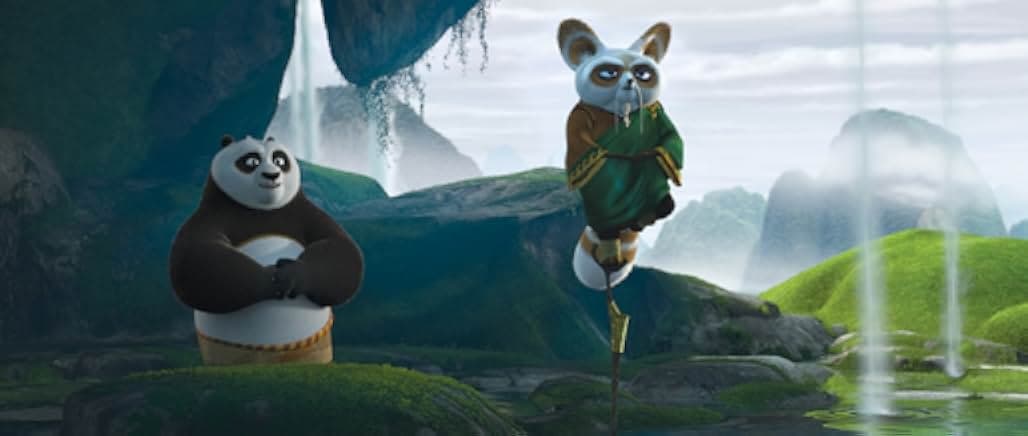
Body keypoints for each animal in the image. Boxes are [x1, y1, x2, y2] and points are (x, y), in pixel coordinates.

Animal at [169, 134, 363, 365]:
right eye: (251, 161)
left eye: (279, 160)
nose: (272, 175)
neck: (263, 209)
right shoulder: (210, 216)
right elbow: (195, 262)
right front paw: (271, 278)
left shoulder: (303, 212)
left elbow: (343, 252)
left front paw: (292, 274)